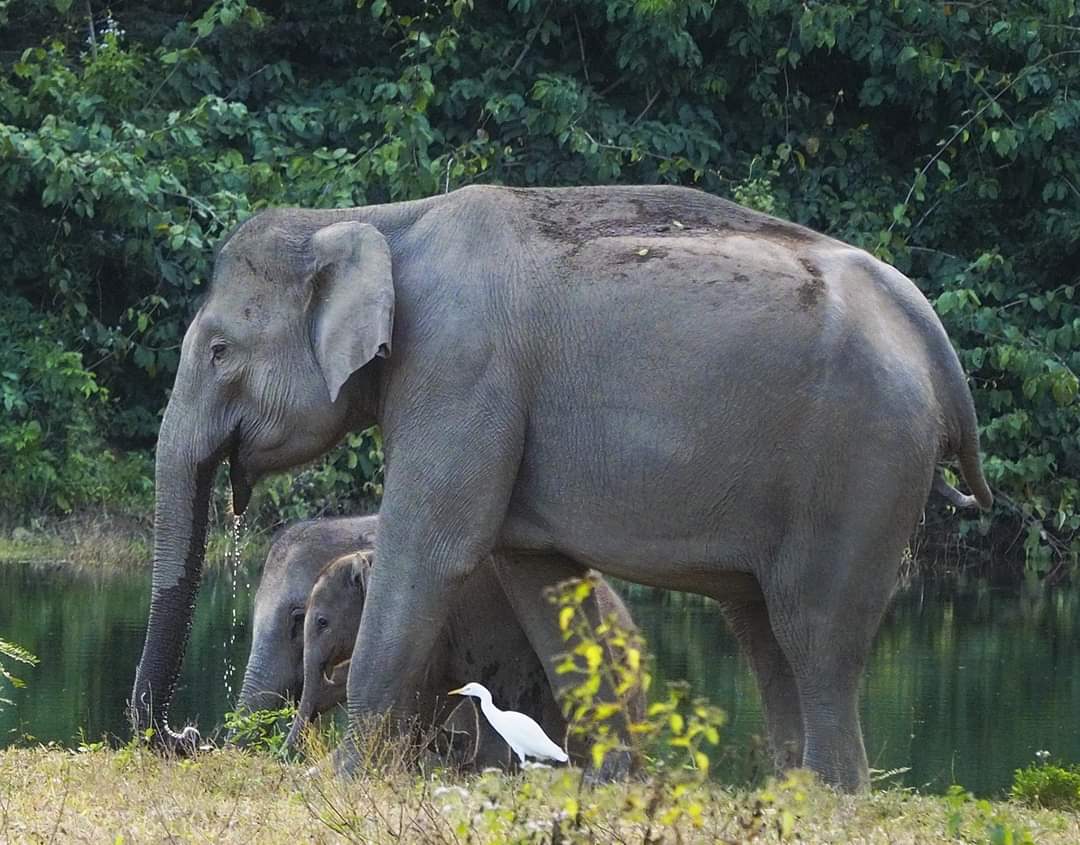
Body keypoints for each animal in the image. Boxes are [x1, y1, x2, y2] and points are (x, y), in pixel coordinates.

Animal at [130, 184, 992, 792]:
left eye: (217, 351)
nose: (185, 738)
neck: (377, 219)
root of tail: (931, 335)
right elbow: (536, 575)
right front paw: (604, 784)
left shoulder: (460, 372)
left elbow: (433, 550)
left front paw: (338, 777)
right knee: (761, 626)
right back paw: (794, 787)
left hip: (860, 466)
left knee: (814, 629)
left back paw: (831, 796)